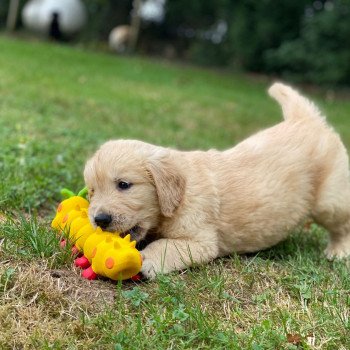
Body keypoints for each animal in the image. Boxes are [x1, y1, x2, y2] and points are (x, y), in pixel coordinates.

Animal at [84, 82, 350, 278]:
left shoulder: (200, 240)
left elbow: (166, 245)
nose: (100, 219)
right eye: (92, 191)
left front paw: (147, 258)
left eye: (124, 185)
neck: (180, 196)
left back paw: (339, 251)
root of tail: (306, 120)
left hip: (329, 202)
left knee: (342, 224)